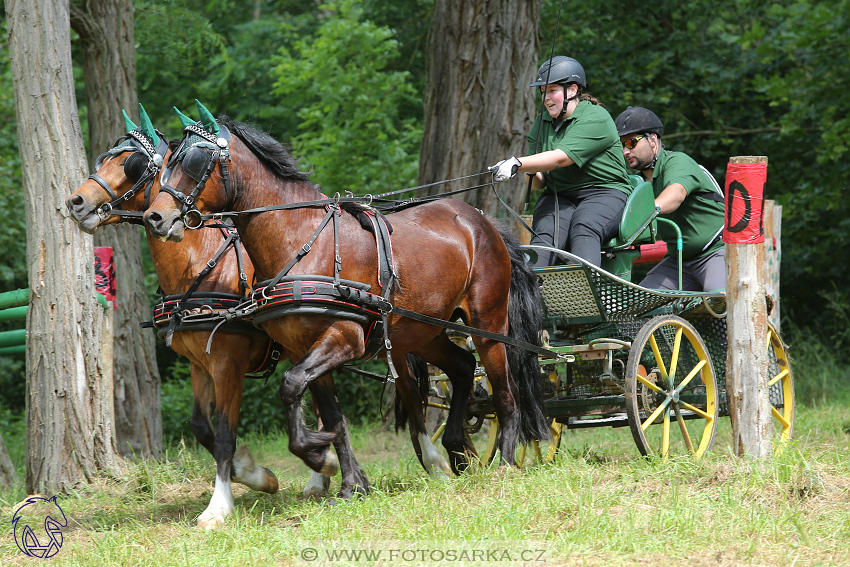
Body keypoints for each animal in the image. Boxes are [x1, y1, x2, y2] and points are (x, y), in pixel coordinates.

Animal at [64, 105, 370, 528]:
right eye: (103, 159)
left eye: (132, 164)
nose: (75, 202)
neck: (200, 264)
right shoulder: (199, 364)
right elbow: (201, 427)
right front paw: (251, 473)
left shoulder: (228, 363)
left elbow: (225, 433)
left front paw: (219, 505)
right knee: (326, 409)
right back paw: (322, 474)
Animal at [142, 101, 548, 474]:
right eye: (166, 163)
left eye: (195, 161)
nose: (155, 217)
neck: (302, 240)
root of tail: (483, 222)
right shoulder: (301, 347)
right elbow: (326, 410)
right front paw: (344, 478)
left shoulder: (344, 338)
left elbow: (290, 386)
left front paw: (315, 453)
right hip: (423, 330)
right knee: (463, 368)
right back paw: (456, 450)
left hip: (488, 325)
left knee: (506, 393)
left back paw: (505, 463)